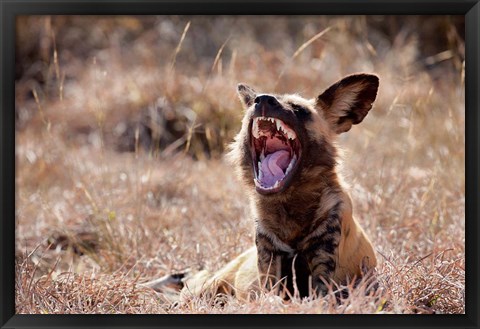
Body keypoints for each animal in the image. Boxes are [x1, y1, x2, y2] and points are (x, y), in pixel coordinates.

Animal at [146, 73, 378, 300]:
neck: (288, 208)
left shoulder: (323, 283)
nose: (264, 99)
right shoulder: (269, 271)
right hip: (203, 291)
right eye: (253, 105)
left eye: (299, 110)